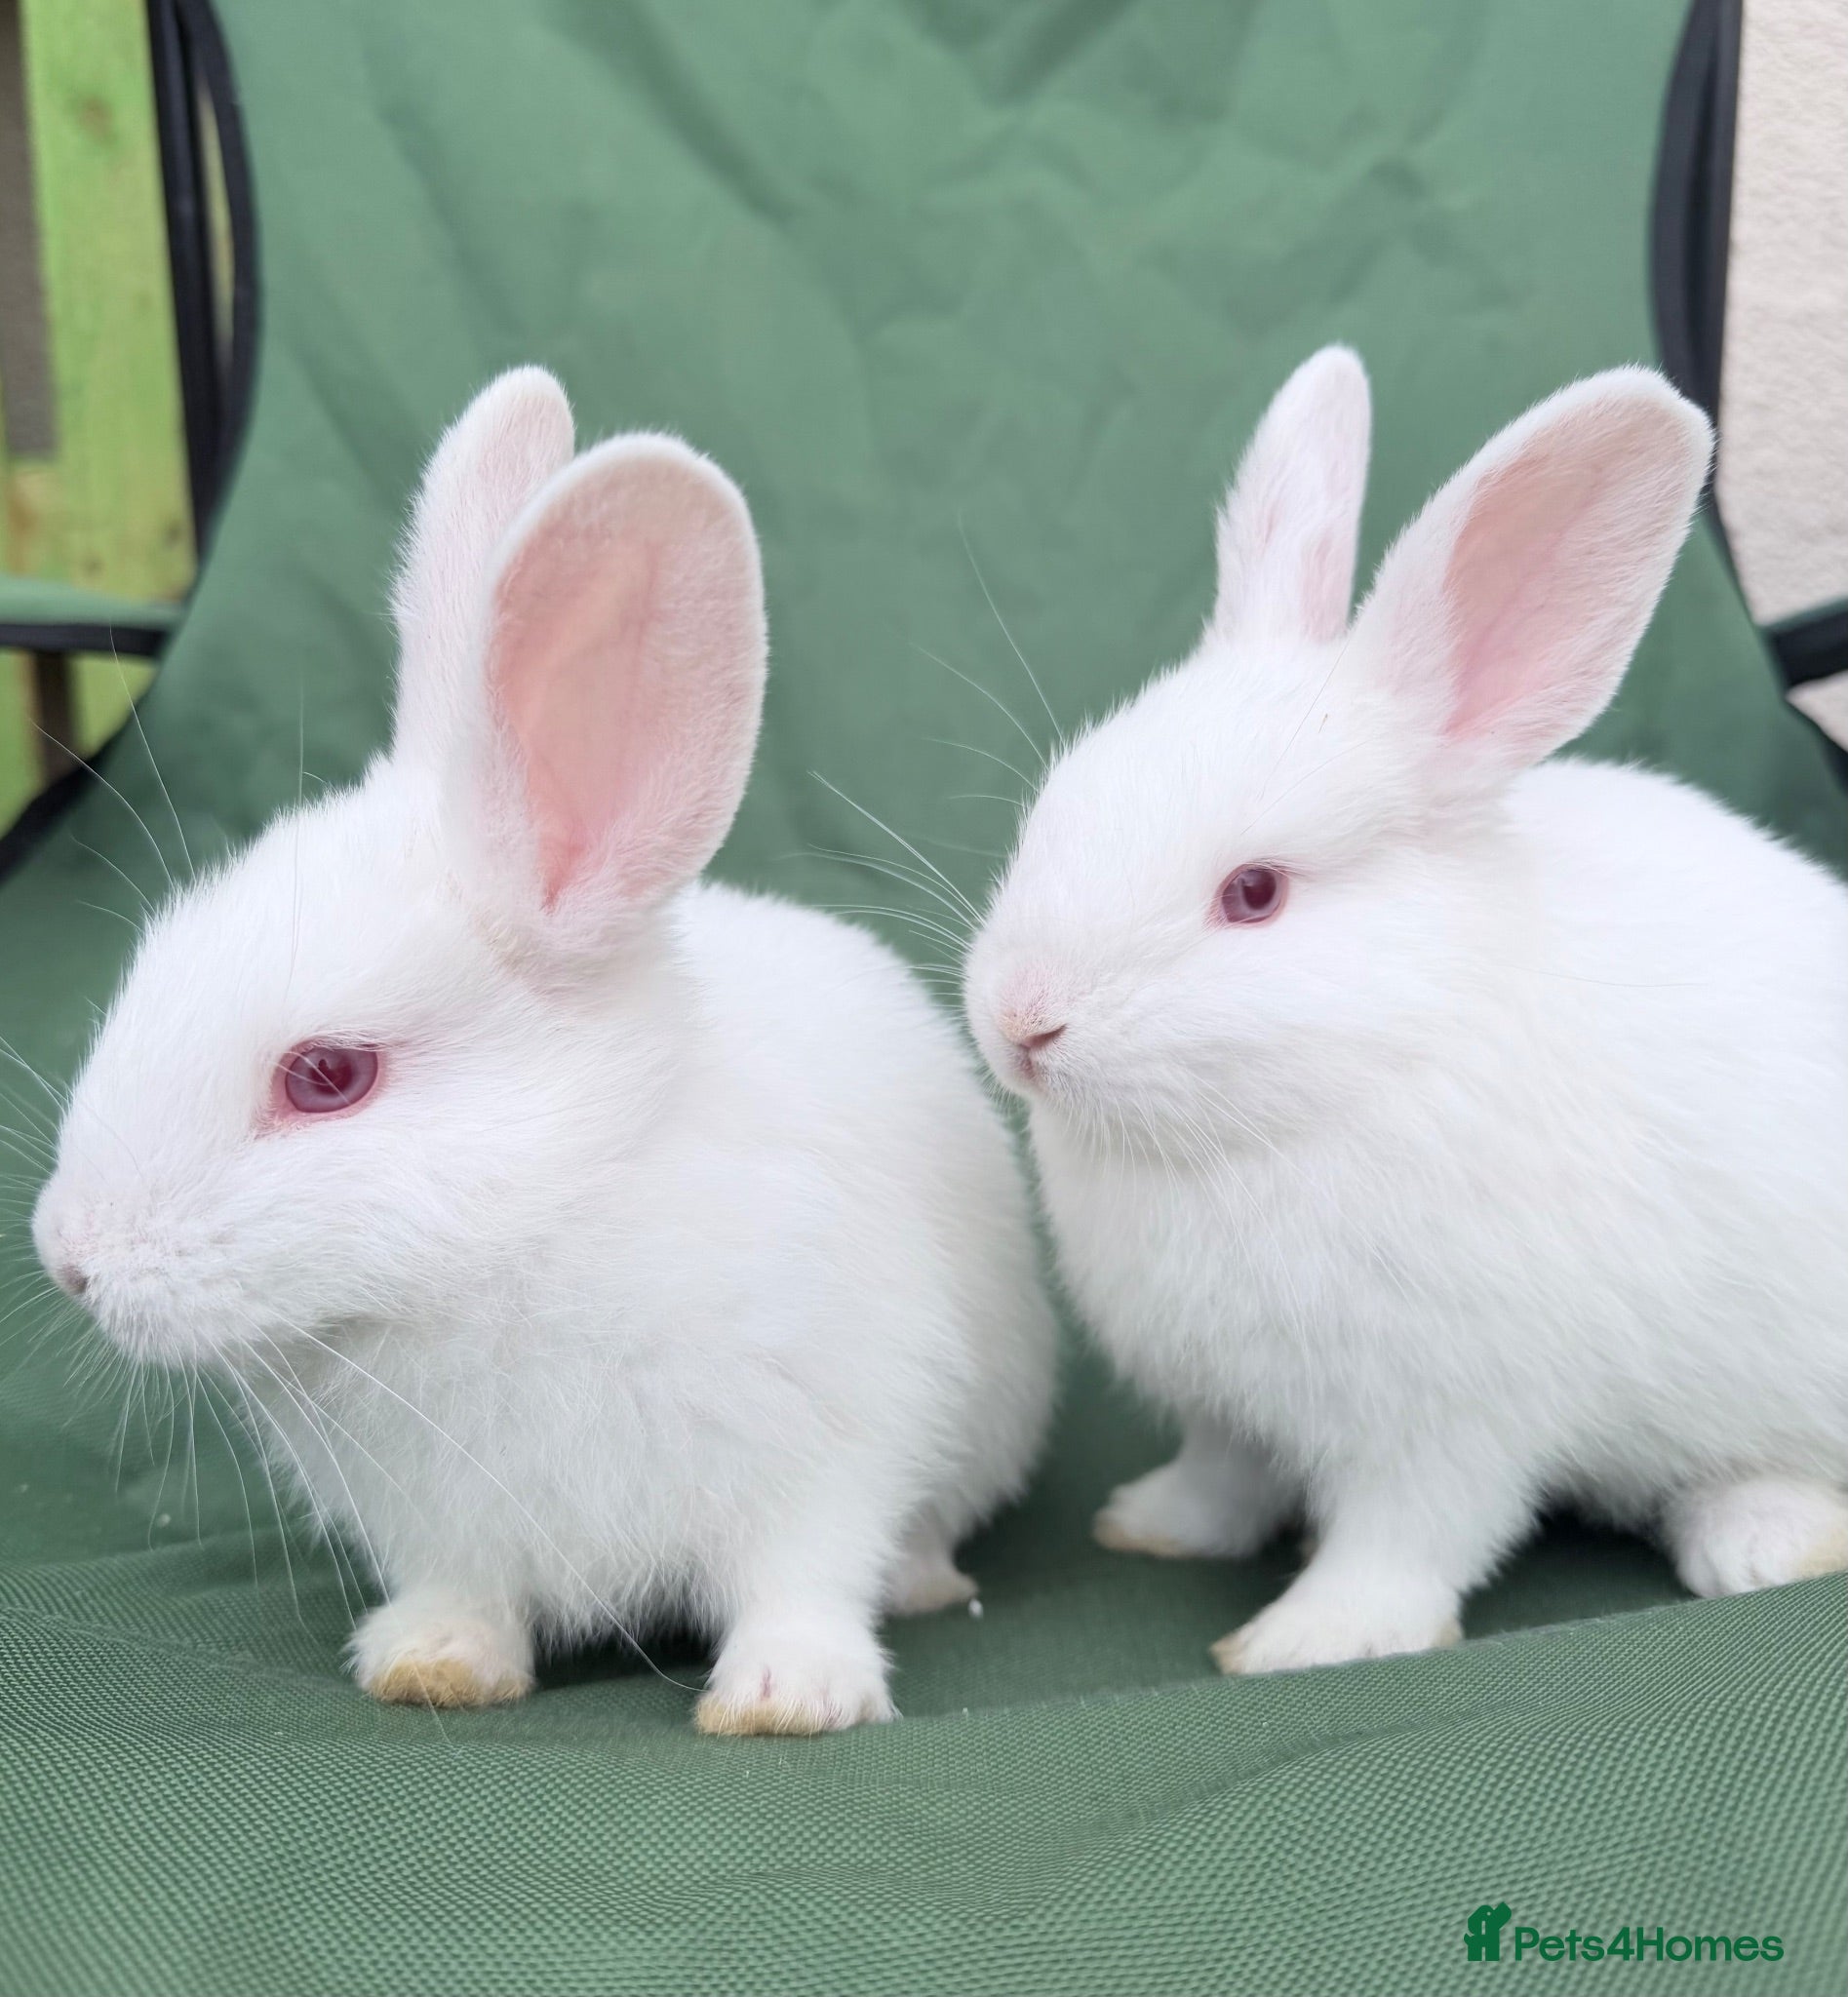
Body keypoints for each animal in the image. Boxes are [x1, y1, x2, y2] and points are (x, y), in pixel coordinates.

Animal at [33, 368, 1055, 1733]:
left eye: (326, 1076)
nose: (68, 1256)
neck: (537, 1226)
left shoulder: (833, 1435)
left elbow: (804, 1572)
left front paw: (788, 1693)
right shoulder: (441, 1525)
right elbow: (463, 1595)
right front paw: (431, 1664)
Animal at [963, 346, 1848, 1676]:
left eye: (1254, 892)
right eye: (1059, 800)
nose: (1019, 1021)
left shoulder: (1444, 1418)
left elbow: (1406, 1536)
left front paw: (1303, 1640)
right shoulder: (1229, 1408)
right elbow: (1223, 1477)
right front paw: (1153, 1526)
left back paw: (1763, 1540)